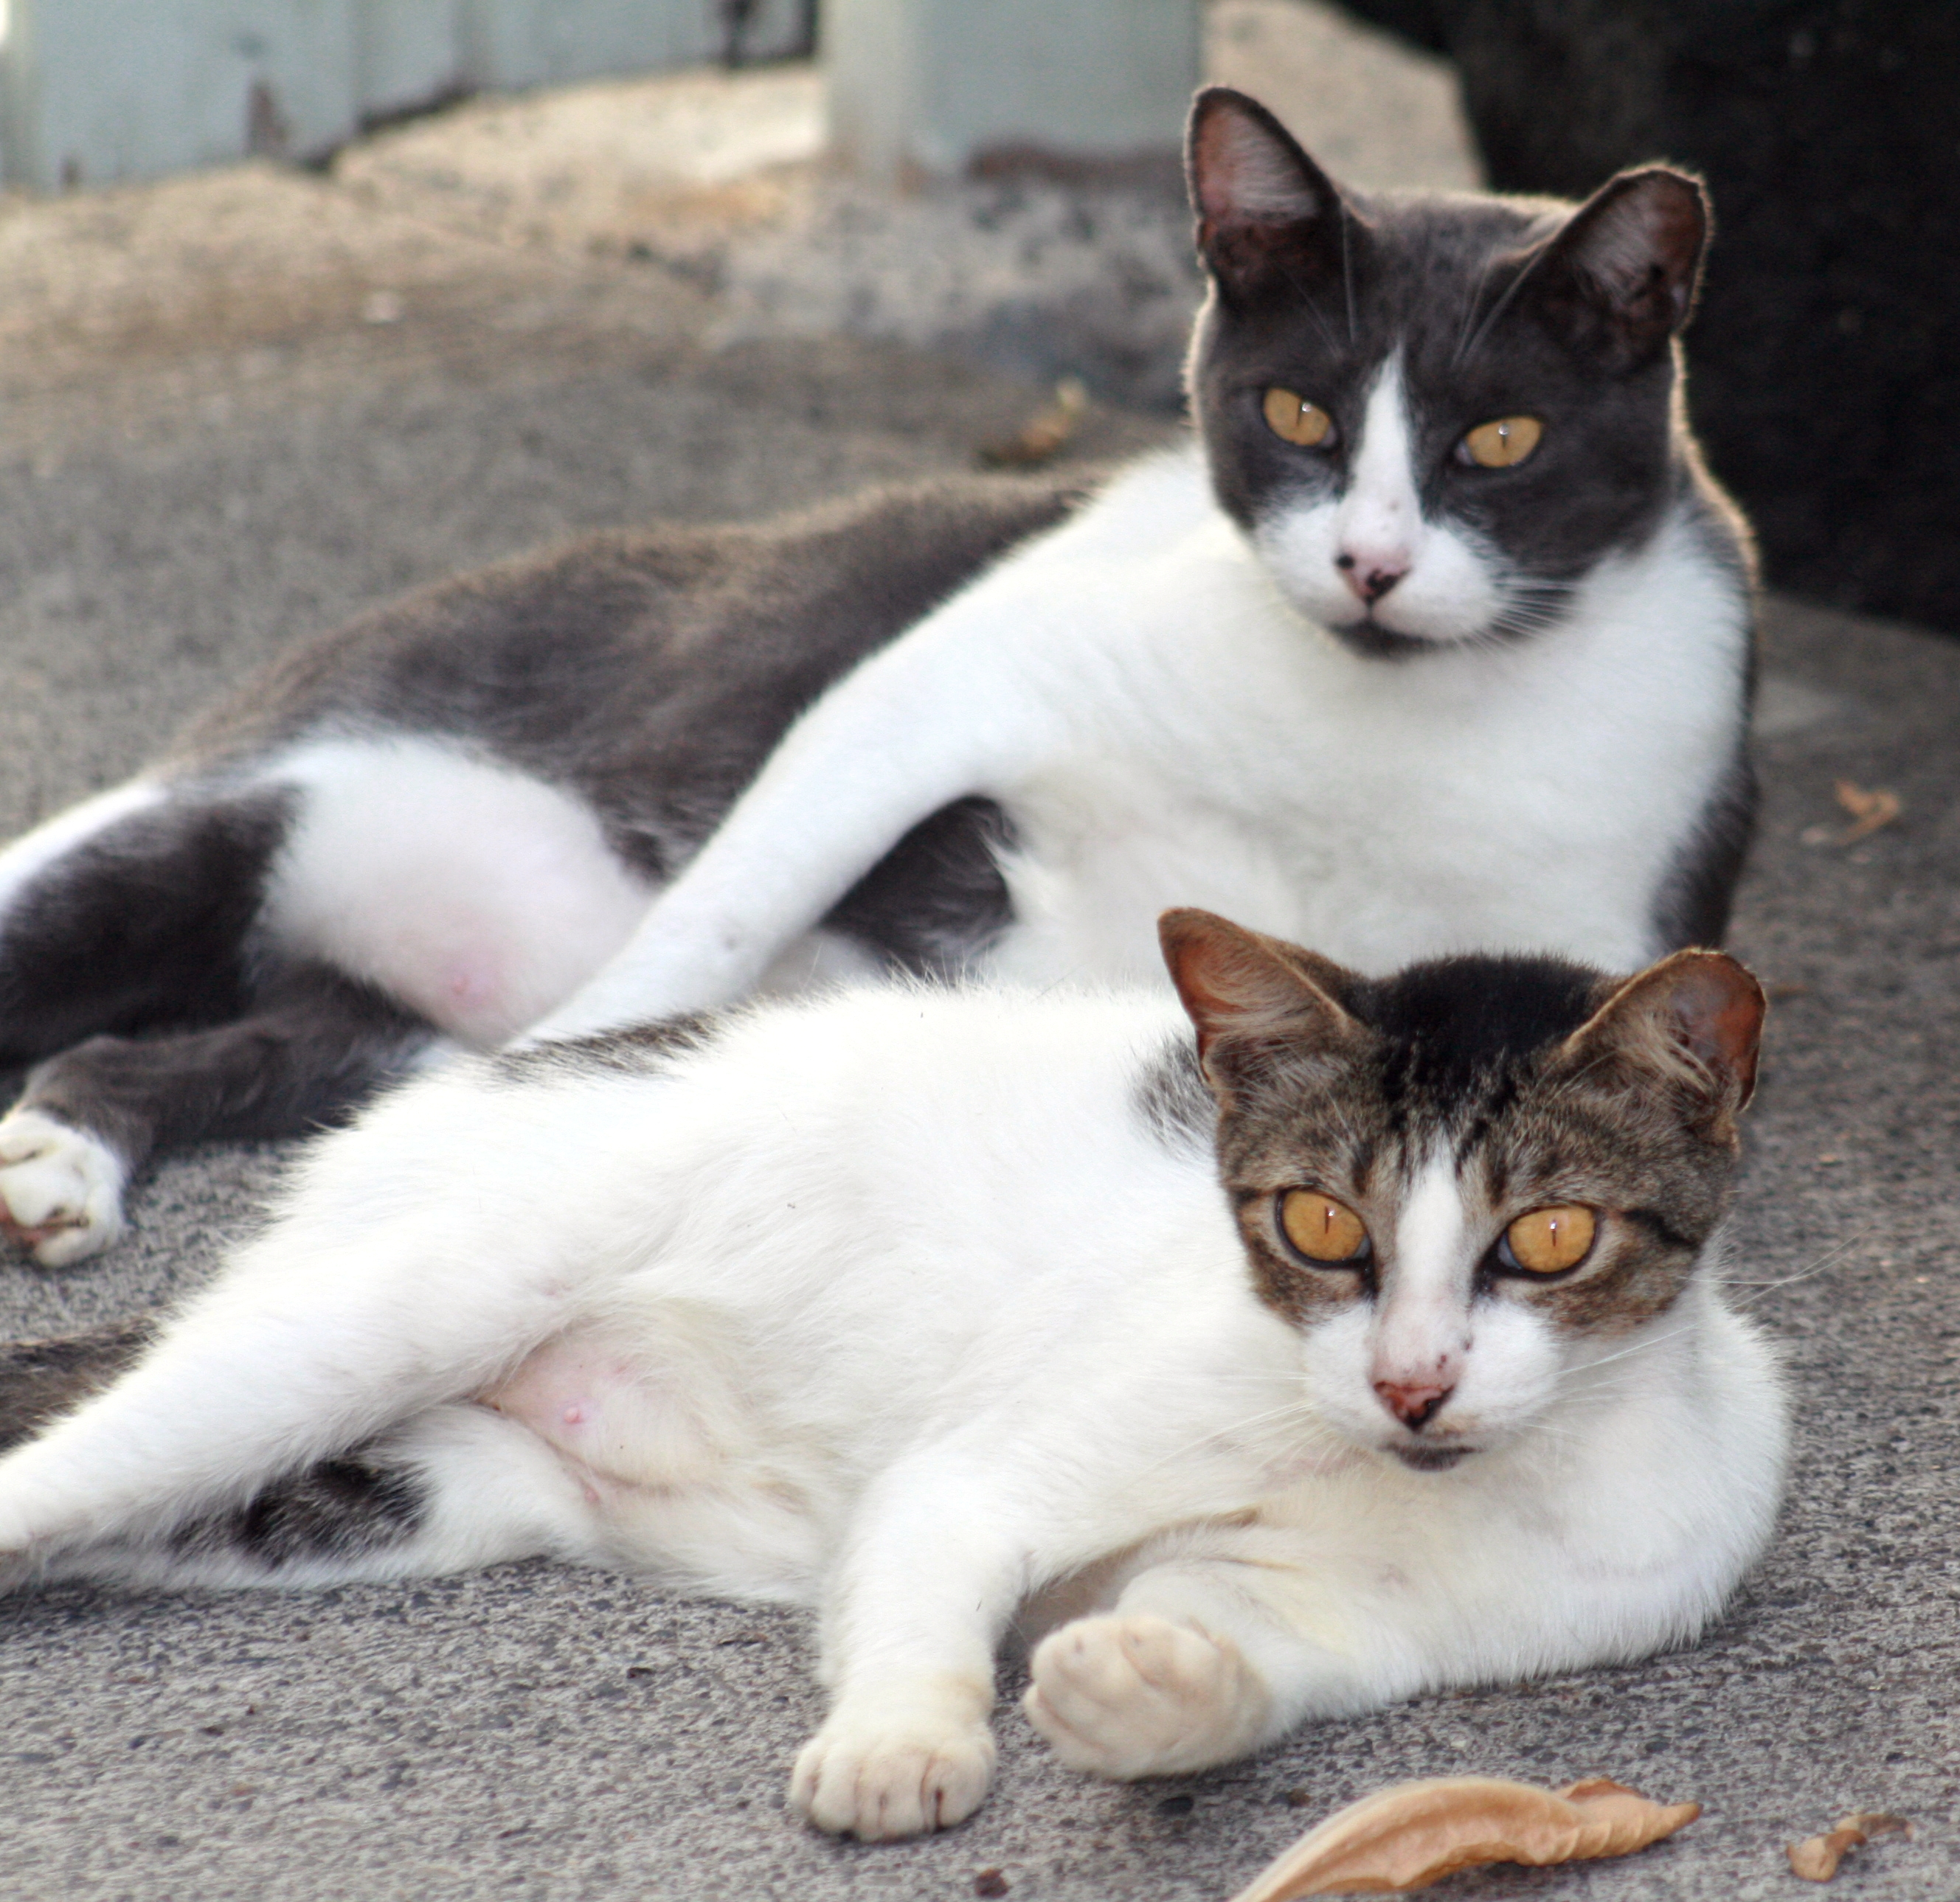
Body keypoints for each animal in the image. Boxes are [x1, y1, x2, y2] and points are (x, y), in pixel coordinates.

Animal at [0, 96, 1756, 1269]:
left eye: (1501, 439)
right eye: (1296, 415)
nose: (1368, 565)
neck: (1374, 719)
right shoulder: (942, 683)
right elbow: (711, 919)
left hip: (364, 1019)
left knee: (164, 1051)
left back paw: (63, 1157)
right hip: (195, 824)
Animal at [0, 917, 1795, 1833]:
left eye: (1547, 1235)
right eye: (1317, 1221)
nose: (1411, 1382)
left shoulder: (1349, 1618)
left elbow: (1240, 1655)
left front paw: (1140, 1689)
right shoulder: (975, 1472)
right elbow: (934, 1557)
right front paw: (901, 1740)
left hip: (416, 1485)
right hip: (394, 1308)